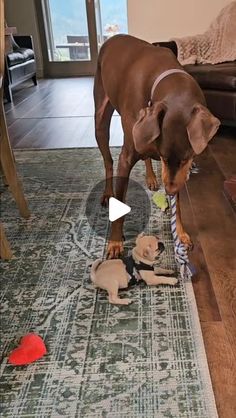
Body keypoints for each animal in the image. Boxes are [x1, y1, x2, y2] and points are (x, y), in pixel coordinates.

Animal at [93, 35, 219, 258]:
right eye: (165, 157)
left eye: (187, 159)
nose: (169, 190)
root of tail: (111, 38)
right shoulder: (128, 157)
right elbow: (121, 197)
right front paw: (115, 242)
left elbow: (178, 203)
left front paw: (180, 233)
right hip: (100, 117)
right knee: (108, 160)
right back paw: (108, 193)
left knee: (144, 157)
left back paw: (151, 178)